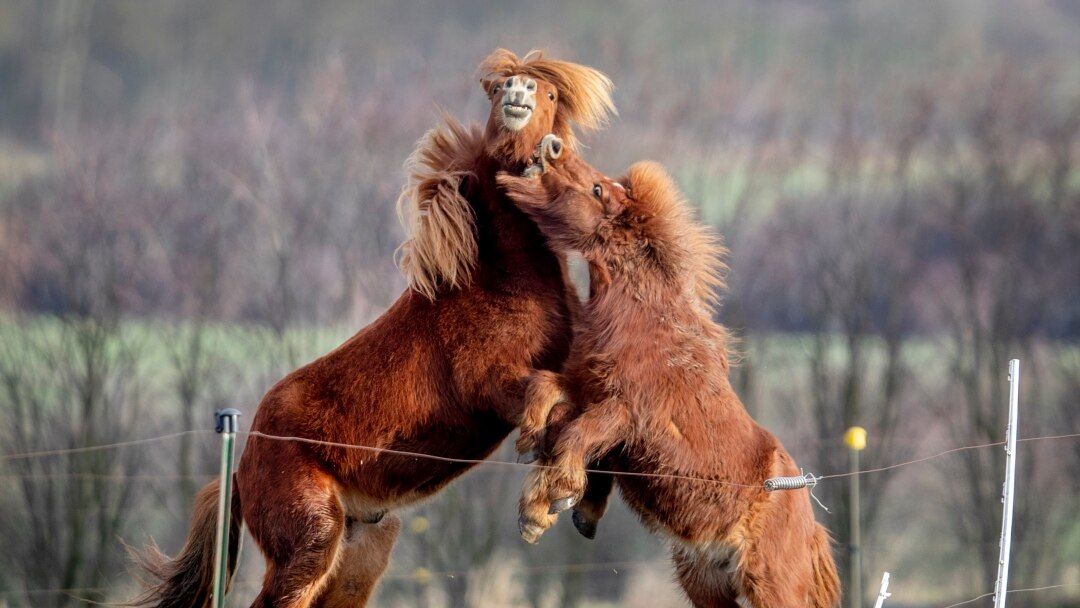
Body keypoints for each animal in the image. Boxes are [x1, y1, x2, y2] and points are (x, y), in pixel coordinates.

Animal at [129, 49, 616, 608]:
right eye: (497, 93)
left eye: (551, 95)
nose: (519, 93)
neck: (497, 277)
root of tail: (241, 466)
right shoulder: (489, 384)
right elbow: (550, 397)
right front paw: (543, 500)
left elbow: (586, 414)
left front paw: (575, 502)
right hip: (313, 541)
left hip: (361, 552)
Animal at [497, 158, 842, 608]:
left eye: (596, 189)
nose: (547, 152)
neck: (646, 323)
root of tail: (811, 525)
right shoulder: (588, 390)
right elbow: (547, 393)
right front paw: (533, 447)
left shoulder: (626, 412)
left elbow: (577, 436)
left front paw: (551, 502)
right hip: (705, 582)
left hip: (771, 588)